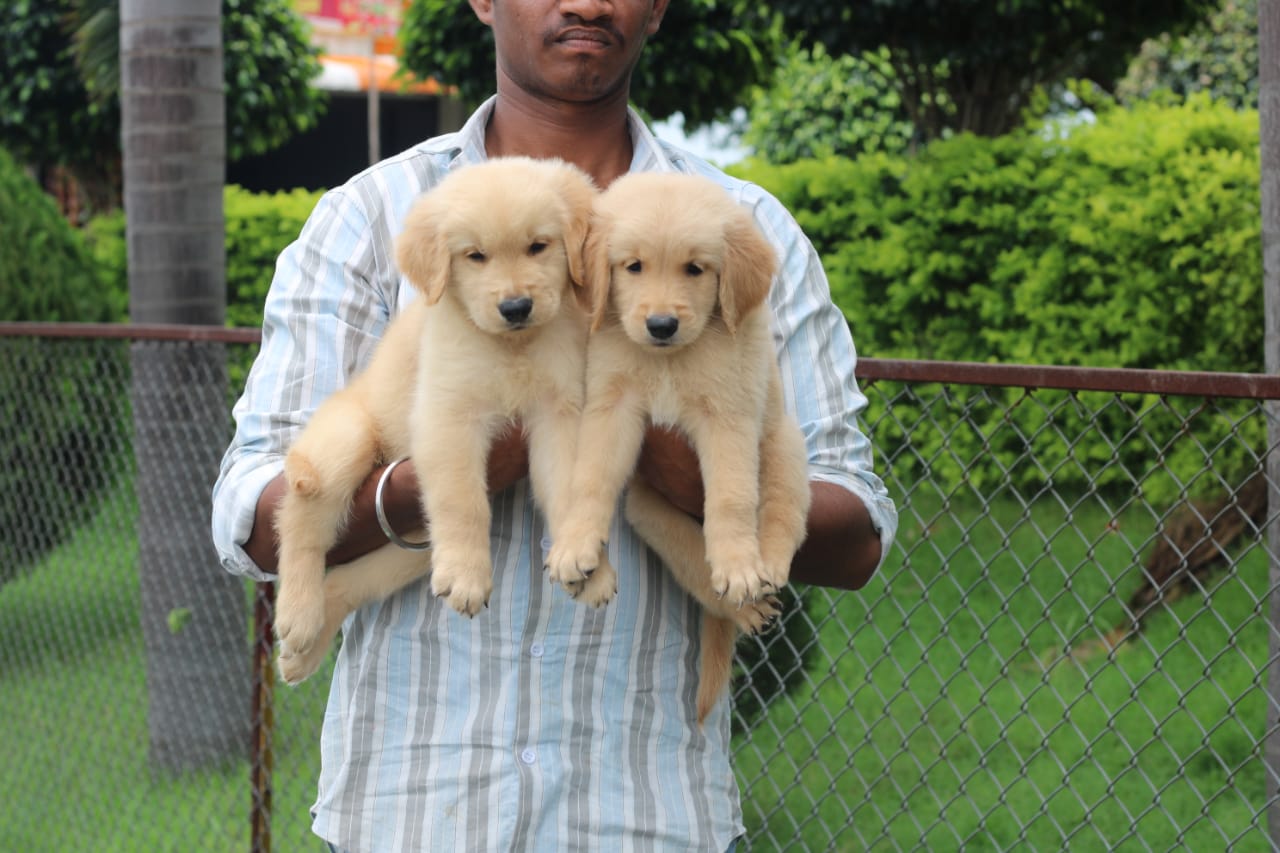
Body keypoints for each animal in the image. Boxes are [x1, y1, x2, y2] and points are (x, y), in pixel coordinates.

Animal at [272, 156, 601, 681]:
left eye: (538, 246)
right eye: (475, 256)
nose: (516, 307)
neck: (513, 347)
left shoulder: (559, 414)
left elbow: (570, 490)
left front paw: (583, 559)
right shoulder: (449, 417)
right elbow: (464, 502)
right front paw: (467, 577)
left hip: (410, 545)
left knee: (351, 579)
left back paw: (304, 650)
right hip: (341, 447)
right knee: (302, 523)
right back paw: (299, 616)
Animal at [542, 172, 808, 717]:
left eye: (695, 269)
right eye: (634, 266)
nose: (661, 325)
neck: (667, 362)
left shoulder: (728, 414)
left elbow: (731, 497)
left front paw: (738, 563)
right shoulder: (611, 407)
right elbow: (590, 480)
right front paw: (576, 543)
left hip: (784, 444)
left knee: (781, 512)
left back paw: (763, 568)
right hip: (649, 511)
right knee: (692, 558)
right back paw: (741, 608)